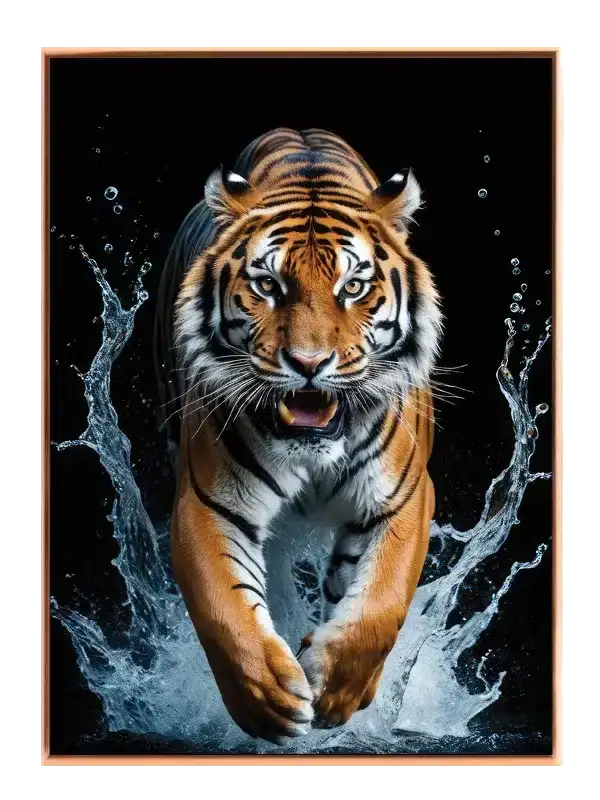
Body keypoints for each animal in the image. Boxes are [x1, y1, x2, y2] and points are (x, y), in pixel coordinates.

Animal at [154, 127, 443, 745]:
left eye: (353, 287)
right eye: (267, 284)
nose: (309, 364)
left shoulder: (404, 497)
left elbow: (380, 604)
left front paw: (335, 688)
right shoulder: (207, 499)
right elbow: (224, 610)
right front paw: (270, 699)